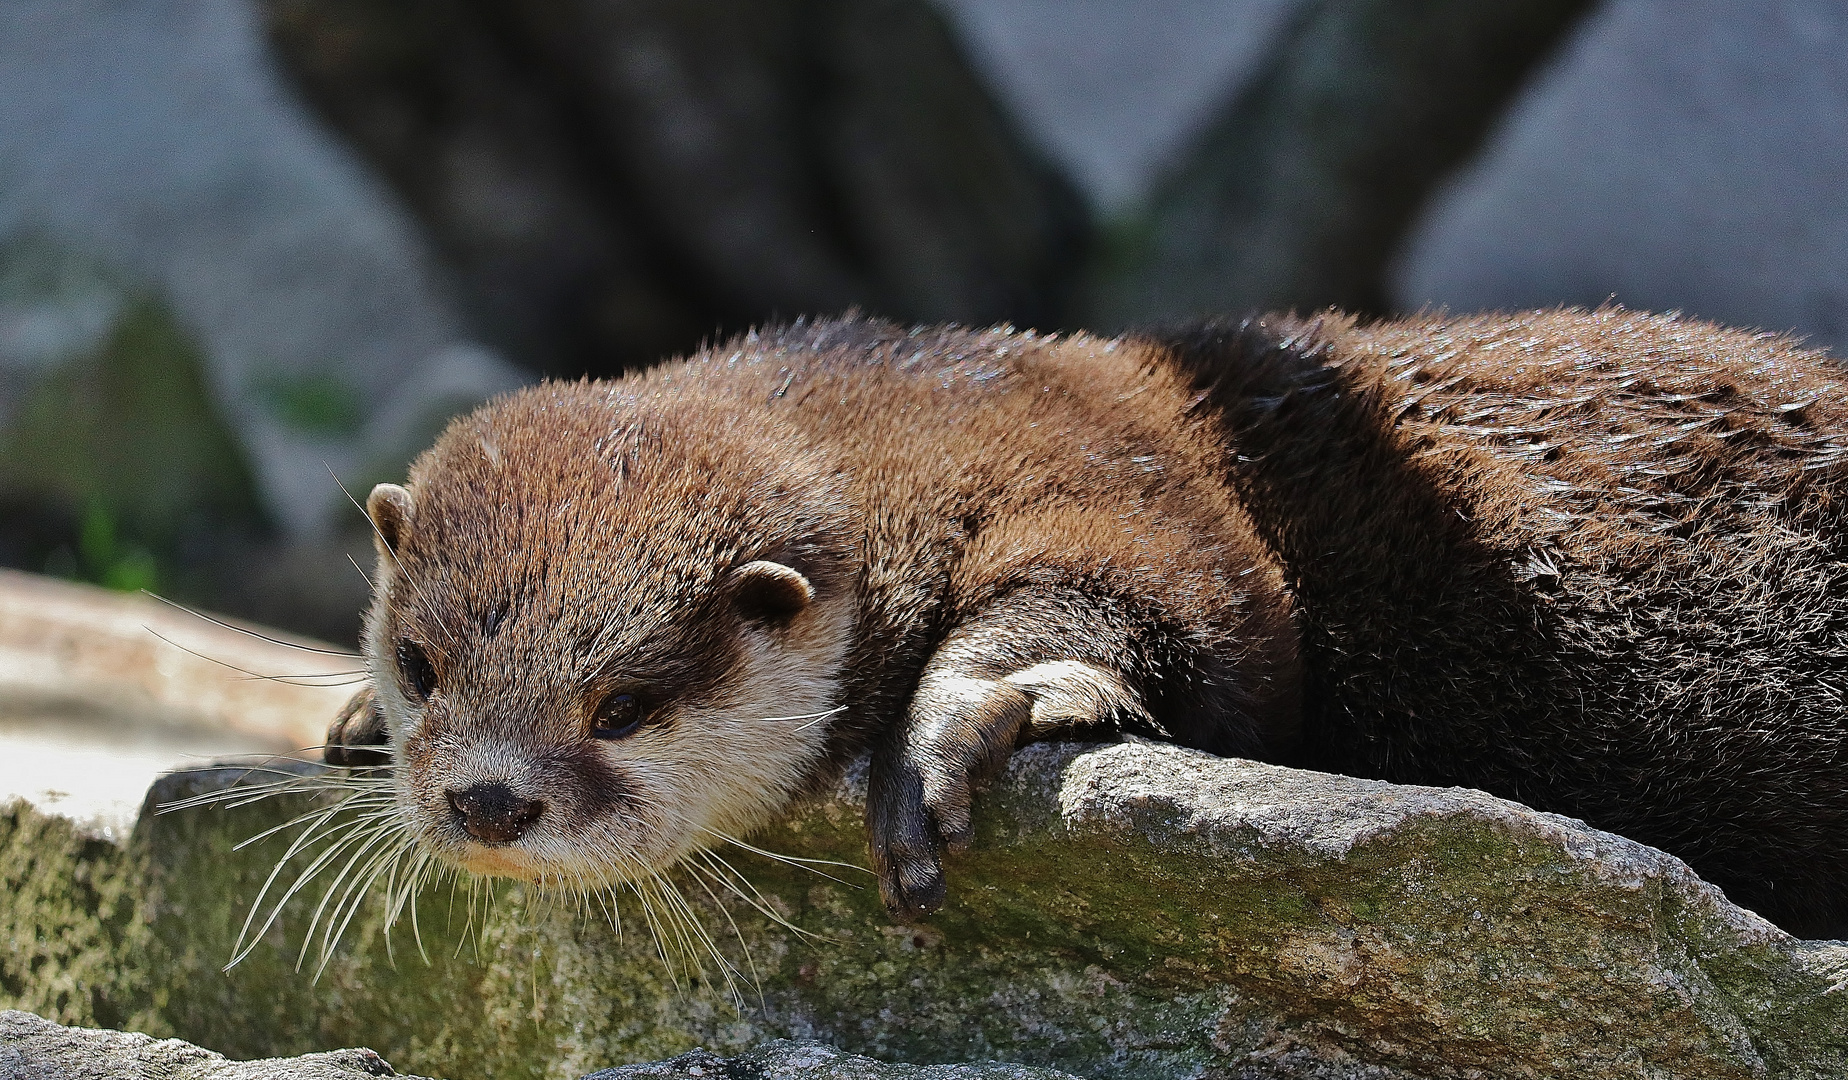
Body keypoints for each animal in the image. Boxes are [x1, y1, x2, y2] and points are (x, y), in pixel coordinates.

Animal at [325, 310, 1848, 935]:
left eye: (627, 703)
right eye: (421, 663)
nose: (486, 800)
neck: (903, 416)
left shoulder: (1114, 466)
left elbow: (1190, 601)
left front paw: (946, 732)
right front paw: (342, 719)